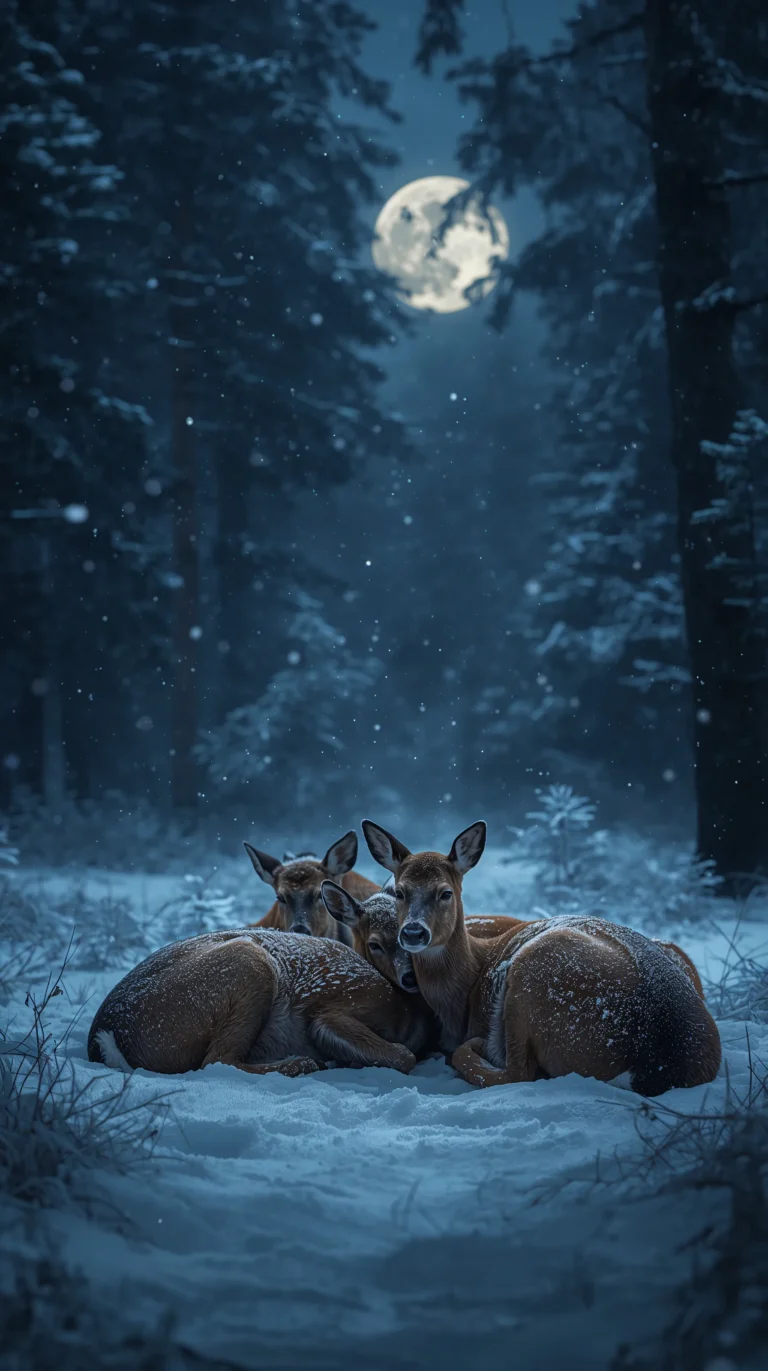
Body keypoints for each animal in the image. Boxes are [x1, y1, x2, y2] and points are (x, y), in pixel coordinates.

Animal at [88, 926, 429, 1078]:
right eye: (376, 942)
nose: (410, 976)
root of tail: (103, 1037)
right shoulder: (336, 1007)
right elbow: (403, 1055)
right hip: (250, 964)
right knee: (217, 1061)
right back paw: (306, 1063)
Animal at [361, 819, 721, 1096]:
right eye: (400, 892)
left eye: (445, 892)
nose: (413, 933)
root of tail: (657, 1062)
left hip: (533, 976)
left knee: (516, 1072)